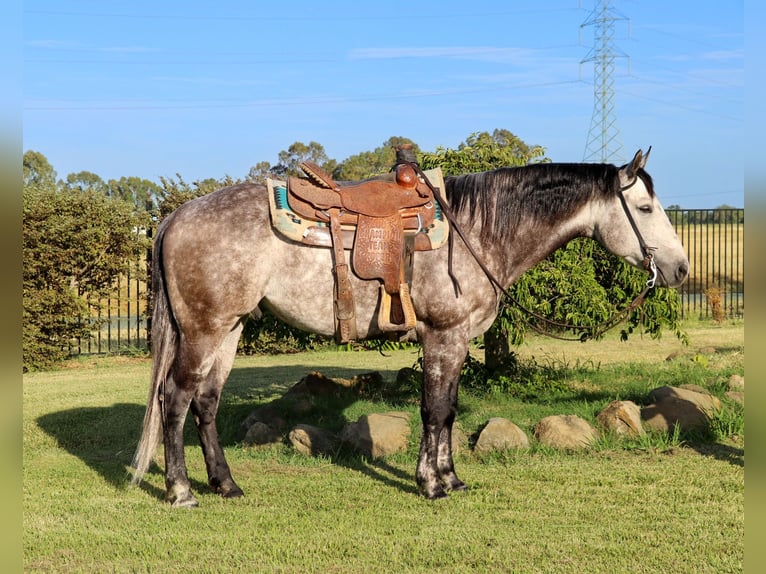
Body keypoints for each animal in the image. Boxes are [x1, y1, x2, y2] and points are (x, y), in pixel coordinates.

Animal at [130, 150, 688, 508]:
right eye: (644, 208)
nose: (680, 269)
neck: (477, 230)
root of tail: (174, 218)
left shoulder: (457, 341)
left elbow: (448, 411)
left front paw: (451, 479)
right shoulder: (443, 335)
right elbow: (435, 410)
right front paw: (431, 484)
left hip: (229, 329)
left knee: (206, 403)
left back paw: (225, 485)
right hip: (203, 330)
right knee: (175, 400)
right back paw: (181, 492)